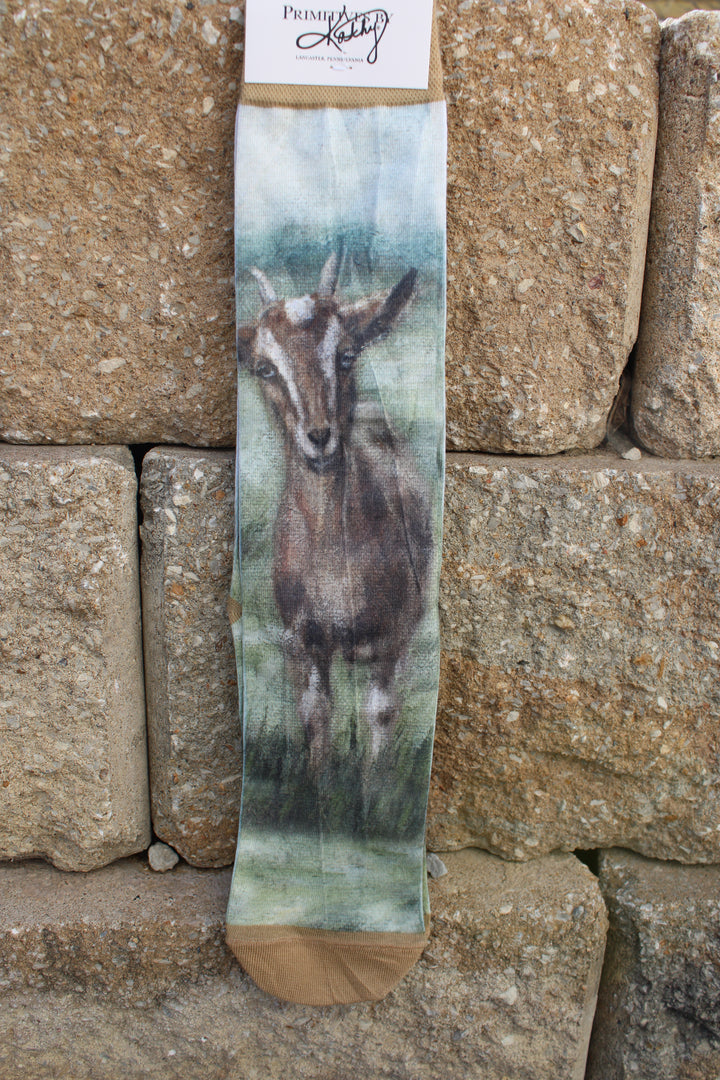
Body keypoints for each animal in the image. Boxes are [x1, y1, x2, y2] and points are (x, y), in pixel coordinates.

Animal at [237, 253, 432, 773]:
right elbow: (315, 718)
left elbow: (380, 714)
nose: (319, 437)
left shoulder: (395, 639)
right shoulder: (301, 643)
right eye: (265, 368)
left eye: (346, 354)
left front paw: (374, 787)